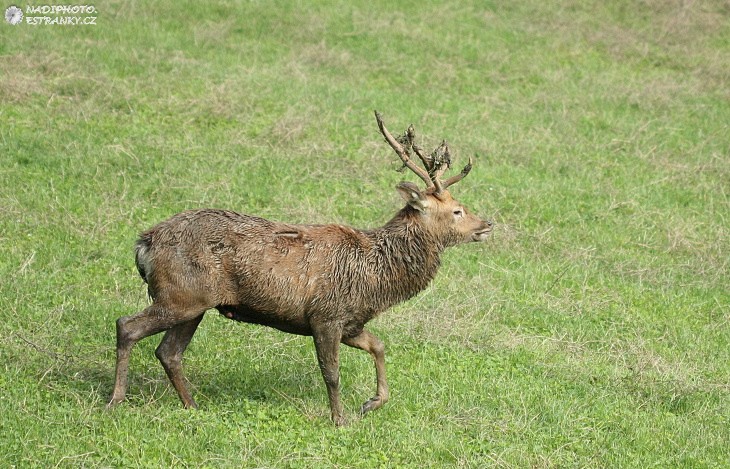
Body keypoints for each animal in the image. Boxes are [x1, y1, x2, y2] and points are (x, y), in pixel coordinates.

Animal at [106, 110, 490, 424]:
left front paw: (371, 403)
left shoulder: (351, 322)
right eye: (457, 210)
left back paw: (192, 406)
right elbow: (331, 372)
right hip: (180, 295)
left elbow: (379, 346)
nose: (487, 224)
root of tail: (144, 243)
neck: (377, 277)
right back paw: (116, 399)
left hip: (195, 303)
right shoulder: (325, 315)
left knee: (168, 352)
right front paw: (339, 420)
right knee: (127, 326)